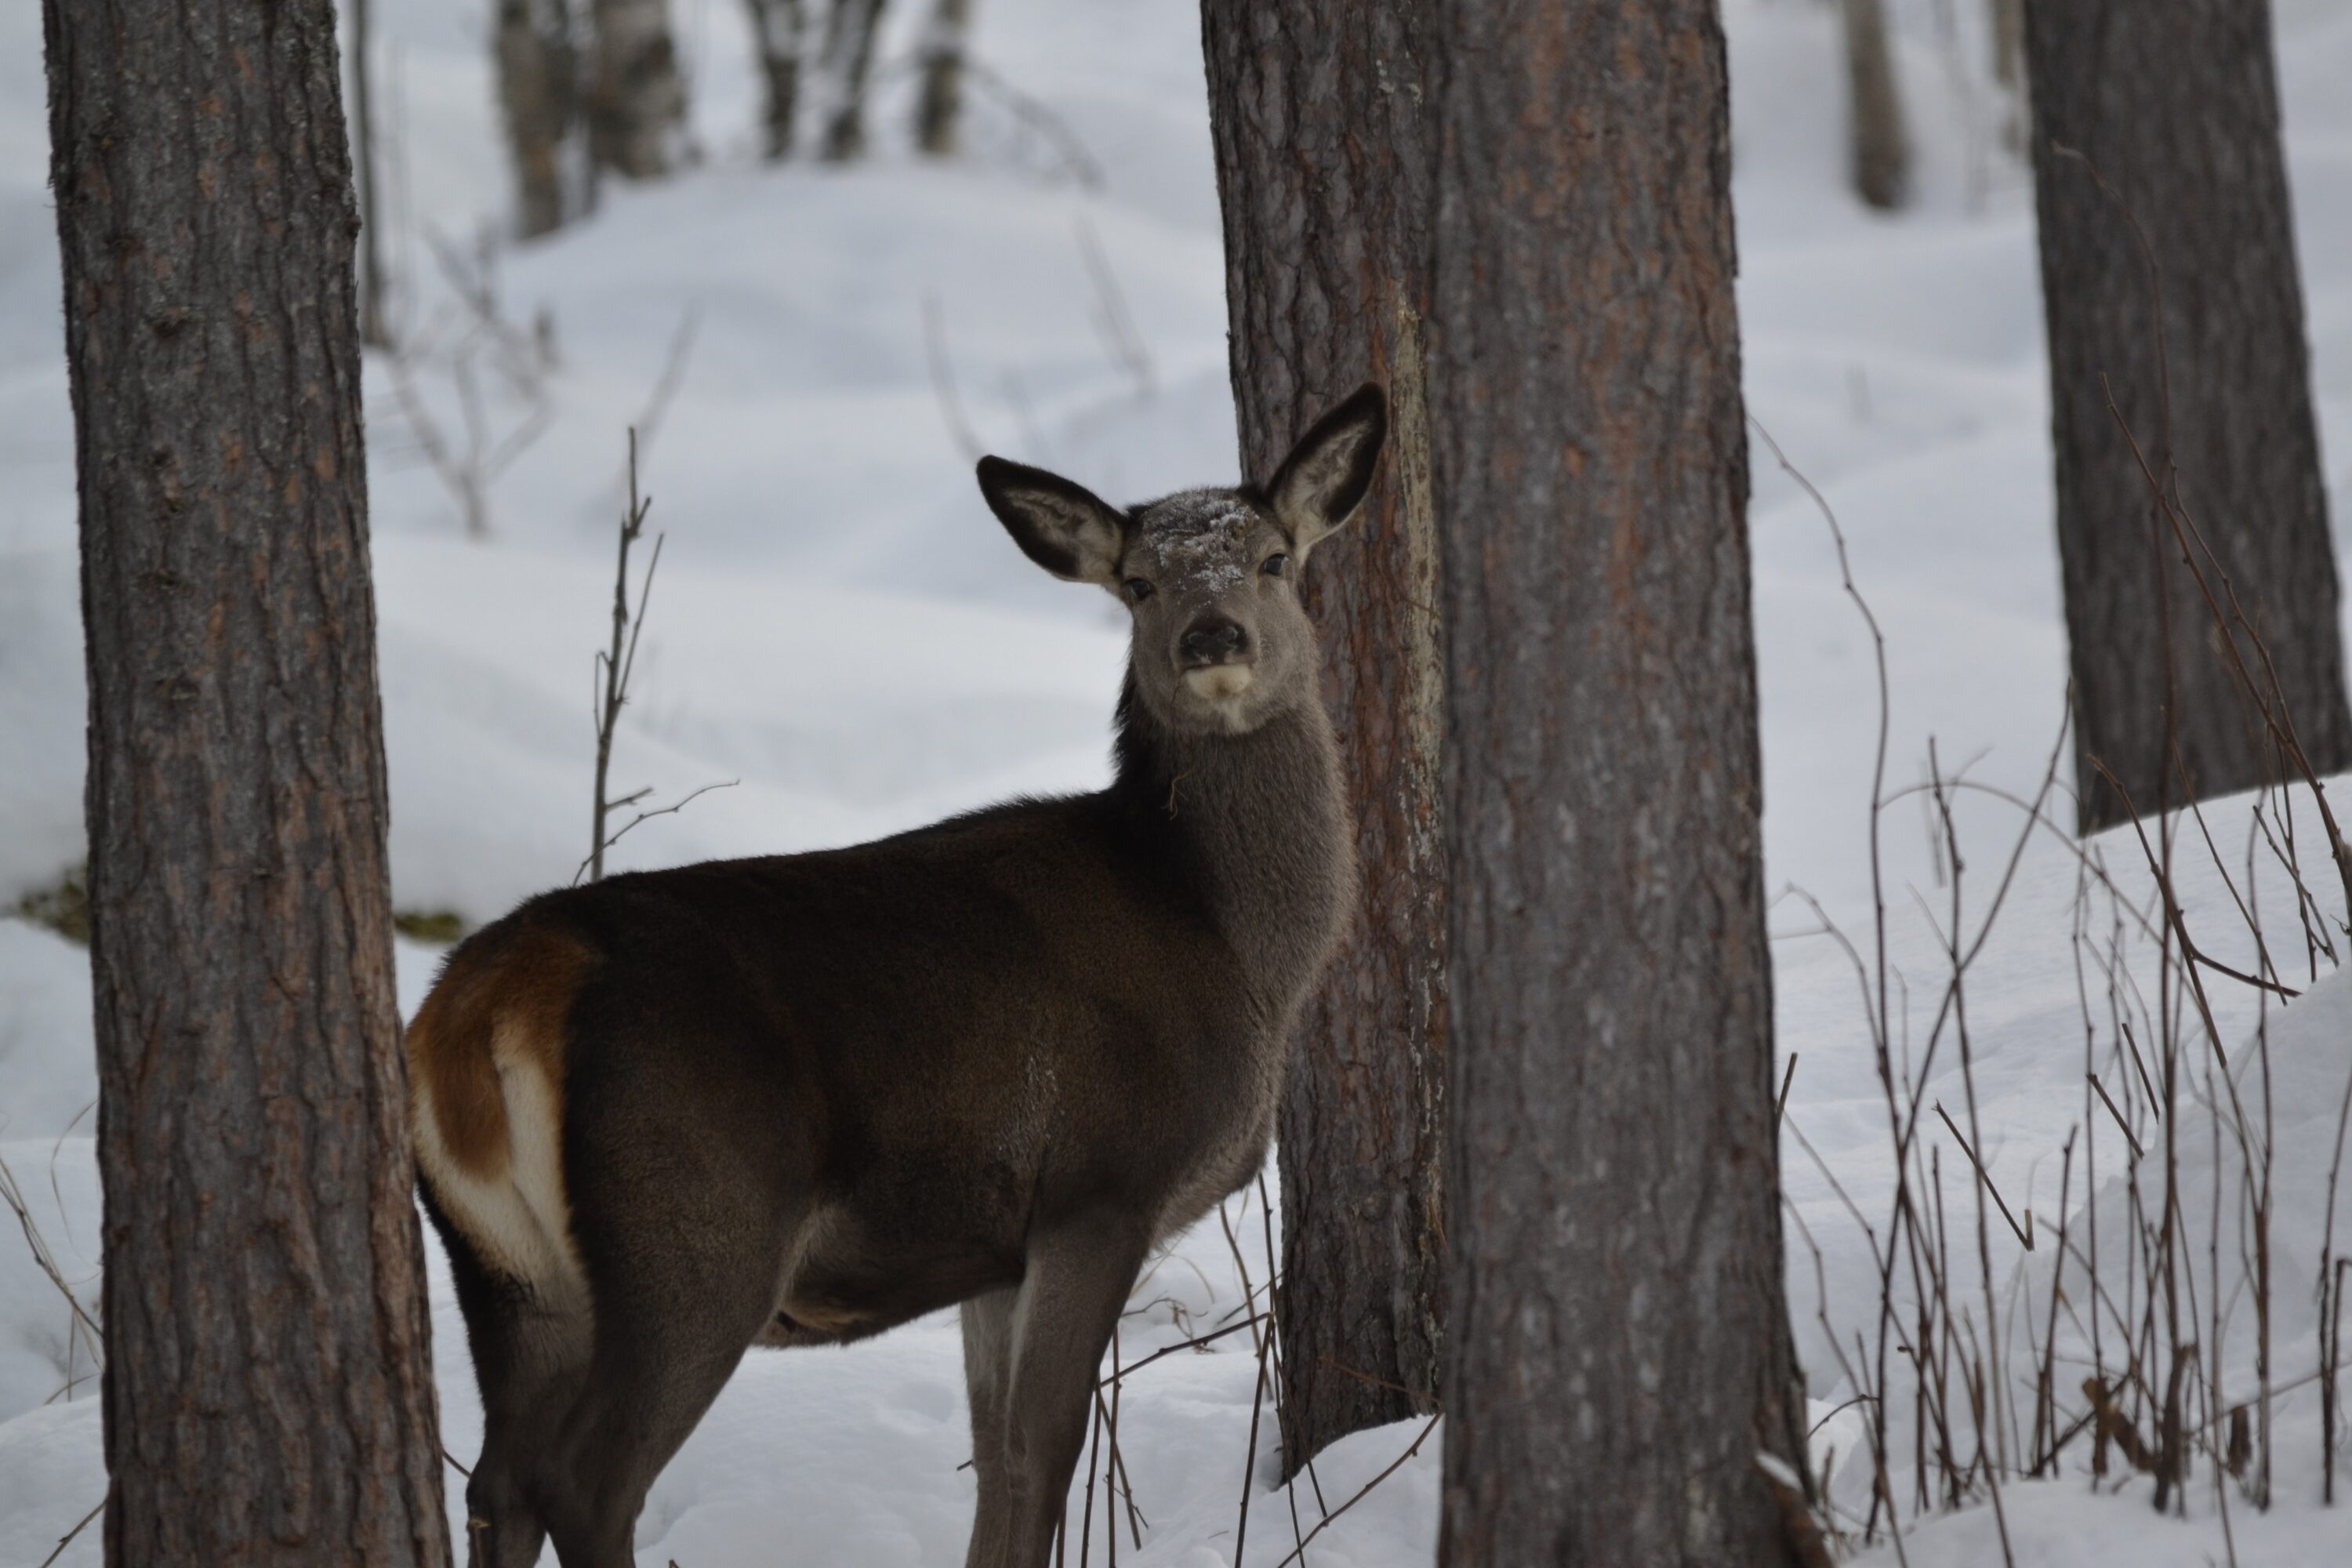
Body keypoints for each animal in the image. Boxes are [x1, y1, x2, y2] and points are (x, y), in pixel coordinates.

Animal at [406, 385, 1387, 1568]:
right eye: (1141, 582)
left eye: (1275, 558)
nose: (1213, 636)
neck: (1231, 945)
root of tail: (482, 1001)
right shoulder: (1101, 1185)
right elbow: (1045, 1452)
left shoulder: (996, 1252)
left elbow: (997, 1462)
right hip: (693, 1231)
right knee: (586, 1479)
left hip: (506, 1272)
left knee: (497, 1481)